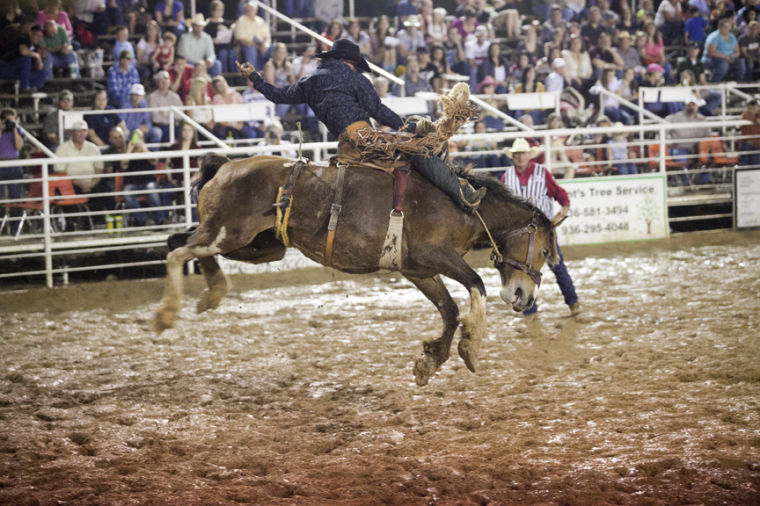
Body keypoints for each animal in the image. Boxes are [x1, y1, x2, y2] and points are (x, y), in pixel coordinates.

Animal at [153, 152, 564, 386]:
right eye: (544, 249)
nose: (524, 296)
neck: (463, 205)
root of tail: (226, 166)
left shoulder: (417, 269)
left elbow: (448, 309)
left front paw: (430, 360)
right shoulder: (437, 255)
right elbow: (476, 284)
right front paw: (471, 346)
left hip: (258, 245)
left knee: (177, 242)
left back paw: (212, 292)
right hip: (231, 233)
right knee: (178, 253)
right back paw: (166, 313)